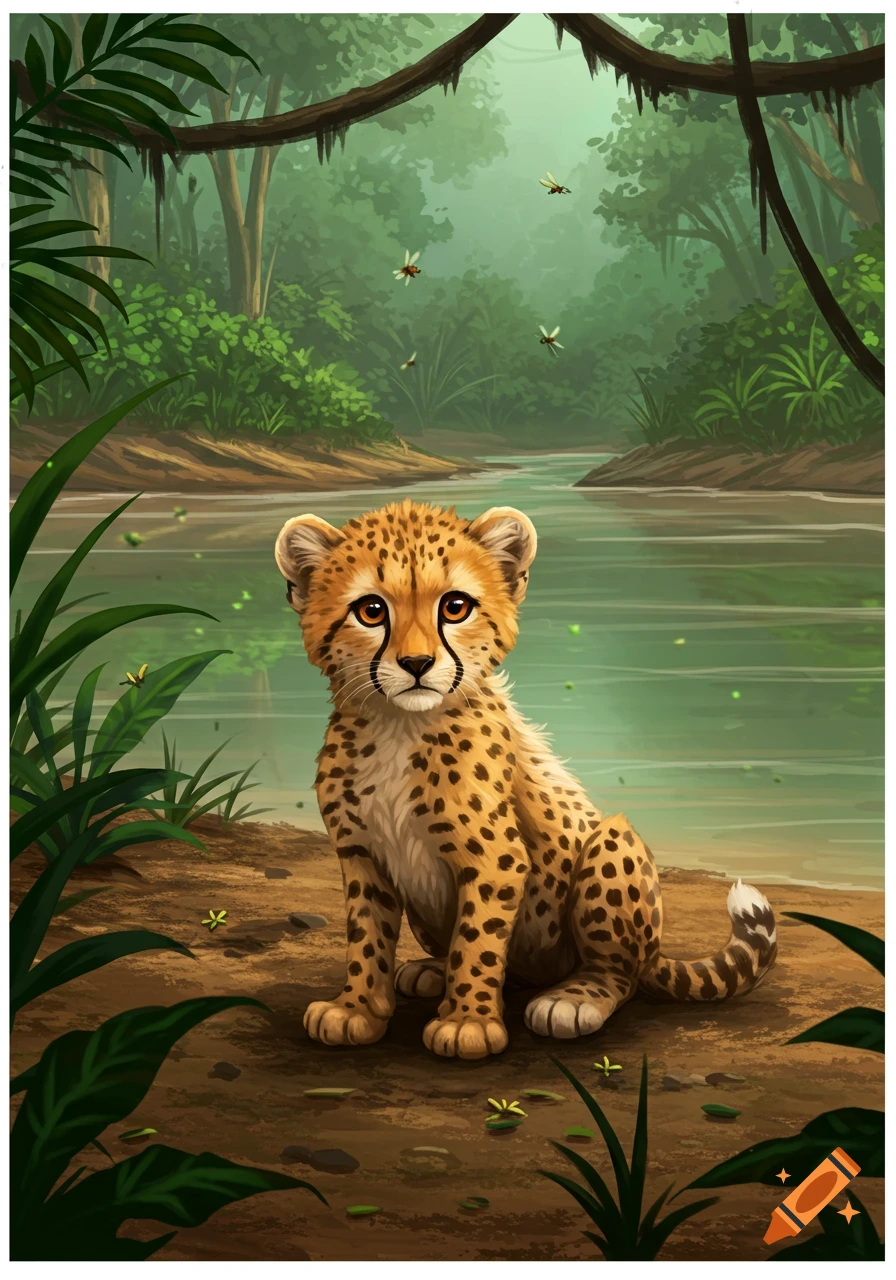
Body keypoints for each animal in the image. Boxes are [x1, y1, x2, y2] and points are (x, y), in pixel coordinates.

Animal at [275, 499, 777, 1060]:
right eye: (371, 611)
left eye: (455, 607)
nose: (417, 663)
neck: (398, 724)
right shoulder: (362, 854)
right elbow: (367, 937)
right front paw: (357, 1009)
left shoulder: (495, 859)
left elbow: (477, 940)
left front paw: (467, 1022)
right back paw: (431, 970)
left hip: (611, 843)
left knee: (618, 972)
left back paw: (574, 997)